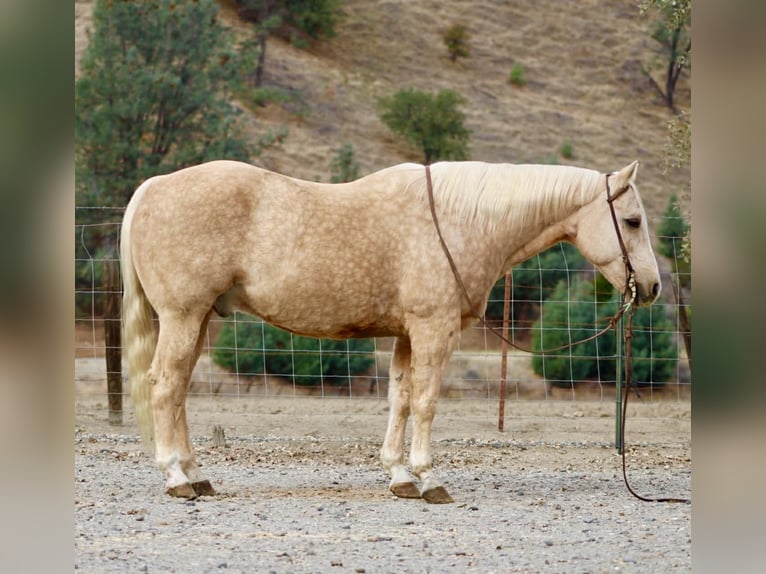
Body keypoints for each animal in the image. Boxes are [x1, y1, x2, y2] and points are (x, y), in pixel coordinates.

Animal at [120, 159, 661, 502]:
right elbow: (426, 401)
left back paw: (196, 474)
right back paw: (176, 478)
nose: (652, 287)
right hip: (183, 315)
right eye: (632, 220)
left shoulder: (406, 334)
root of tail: (152, 187)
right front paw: (428, 478)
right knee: (165, 387)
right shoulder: (433, 330)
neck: (461, 222)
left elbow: (400, 398)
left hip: (198, 320)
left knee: (179, 390)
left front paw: (399, 476)